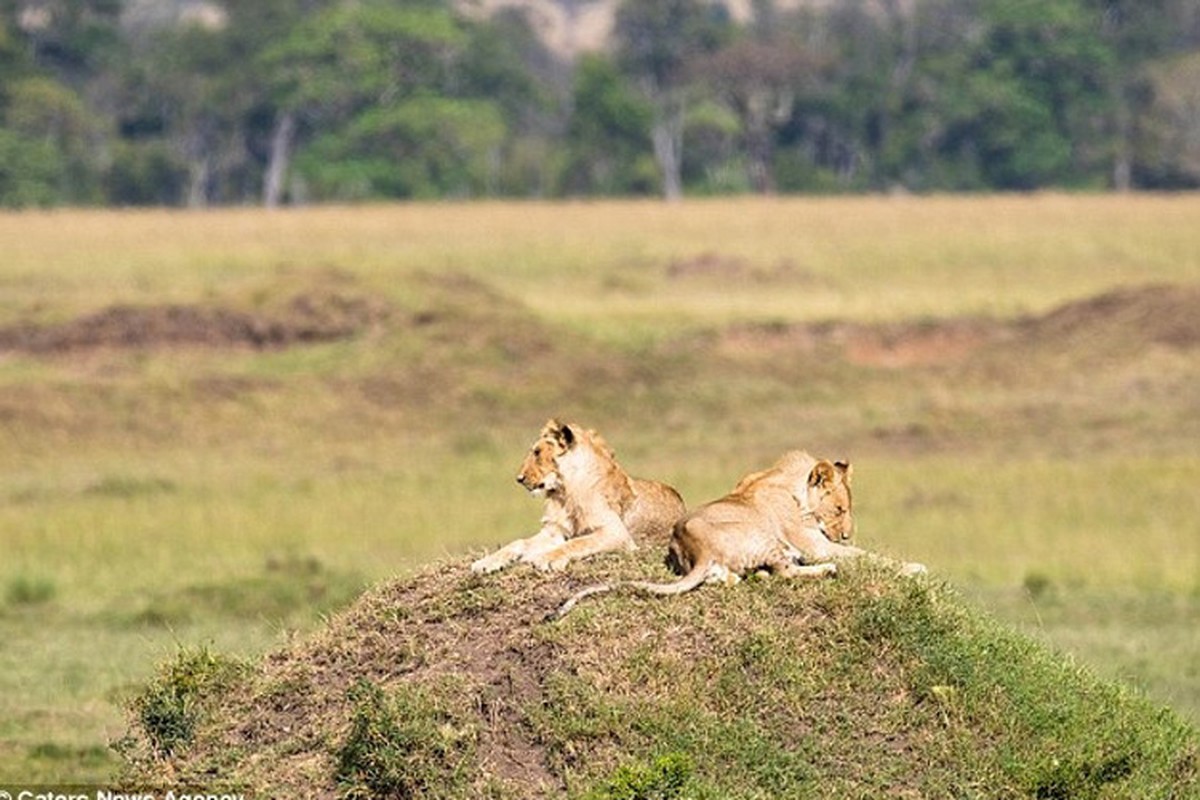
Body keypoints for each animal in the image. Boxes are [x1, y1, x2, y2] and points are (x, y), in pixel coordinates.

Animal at [472, 419, 691, 575]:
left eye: (537, 452)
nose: (519, 478)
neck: (565, 491)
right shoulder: (554, 531)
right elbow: (517, 543)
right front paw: (484, 563)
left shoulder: (617, 533)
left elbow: (577, 543)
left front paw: (544, 558)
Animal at [552, 450, 926, 618]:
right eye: (839, 510)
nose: (846, 535)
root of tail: (696, 548)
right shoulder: (815, 545)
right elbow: (869, 557)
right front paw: (915, 568)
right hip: (766, 538)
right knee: (785, 573)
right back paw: (825, 571)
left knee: (746, 576)